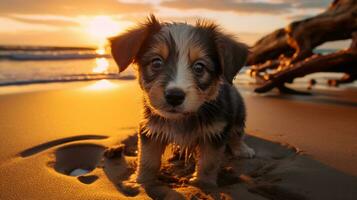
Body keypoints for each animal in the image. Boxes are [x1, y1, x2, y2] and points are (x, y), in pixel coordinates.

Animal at [110, 15, 253, 188]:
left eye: (199, 67)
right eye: (156, 62)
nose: (174, 96)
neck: (182, 118)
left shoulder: (215, 132)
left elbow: (208, 162)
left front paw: (203, 184)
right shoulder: (150, 129)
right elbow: (147, 160)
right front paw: (141, 181)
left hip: (239, 111)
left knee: (237, 133)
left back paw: (242, 149)